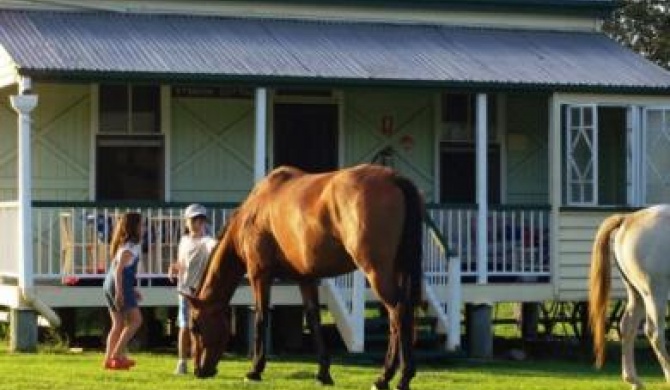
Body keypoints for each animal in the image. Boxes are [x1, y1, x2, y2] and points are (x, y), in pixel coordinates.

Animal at [186, 164, 422, 390]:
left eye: (195, 327)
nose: (198, 371)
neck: (254, 212)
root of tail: (394, 178)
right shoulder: (305, 278)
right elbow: (314, 319)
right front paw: (323, 373)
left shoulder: (259, 274)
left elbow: (262, 316)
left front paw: (255, 370)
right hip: (396, 271)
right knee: (400, 316)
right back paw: (391, 377)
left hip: (376, 271)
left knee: (398, 312)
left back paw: (391, 378)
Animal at [592, 206, 670, 388]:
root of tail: (629, 218)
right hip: (655, 292)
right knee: (655, 333)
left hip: (637, 294)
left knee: (628, 326)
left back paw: (633, 380)